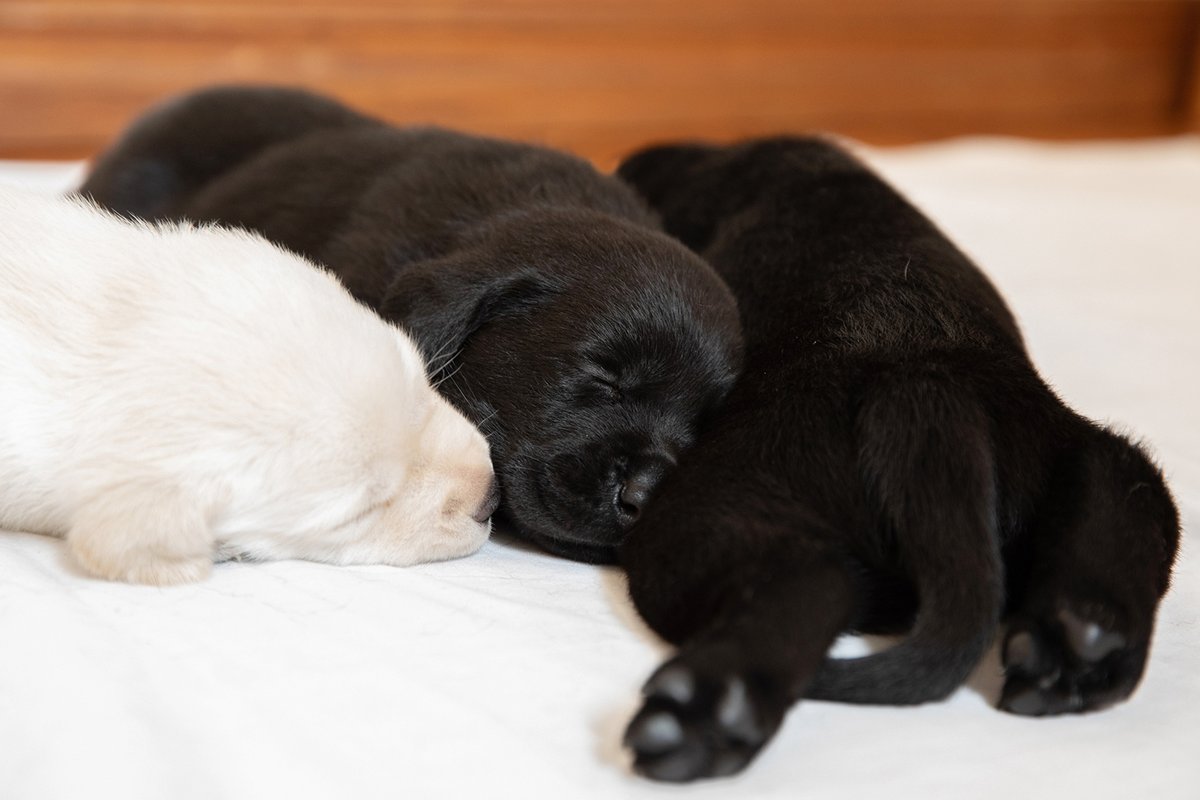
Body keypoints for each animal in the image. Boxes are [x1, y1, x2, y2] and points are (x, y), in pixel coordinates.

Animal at [619, 139, 1180, 782]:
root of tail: (921, 386)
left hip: (707, 504)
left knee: (809, 578)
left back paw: (707, 710)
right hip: (1089, 452)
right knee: (1122, 492)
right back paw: (1081, 642)